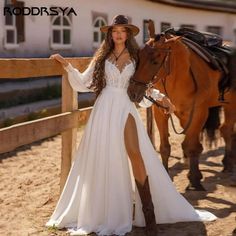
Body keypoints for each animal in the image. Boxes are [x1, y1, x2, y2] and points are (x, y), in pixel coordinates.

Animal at [127, 19, 236, 190]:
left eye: (155, 61)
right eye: (138, 56)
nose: (132, 92)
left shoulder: (199, 112)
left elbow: (191, 145)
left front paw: (195, 179)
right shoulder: (162, 112)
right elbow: (166, 147)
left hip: (231, 105)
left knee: (227, 130)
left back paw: (228, 163)